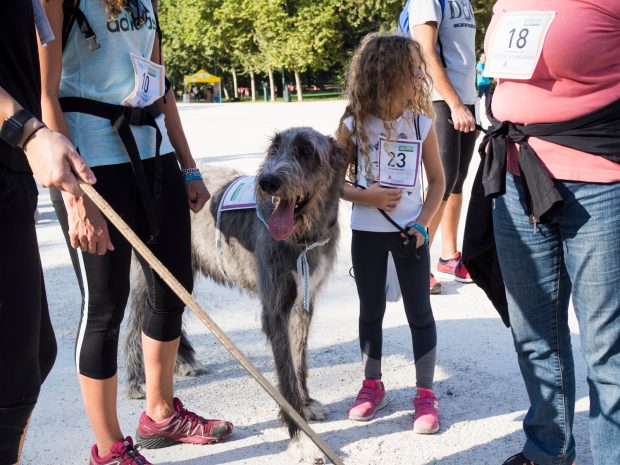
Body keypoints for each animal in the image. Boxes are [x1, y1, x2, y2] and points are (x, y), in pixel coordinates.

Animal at [123, 126, 346, 460]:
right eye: (274, 148)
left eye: (307, 151)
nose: (268, 182)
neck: (302, 237)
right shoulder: (275, 306)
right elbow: (285, 371)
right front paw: (300, 438)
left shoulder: (303, 303)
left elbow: (299, 360)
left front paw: (306, 404)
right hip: (149, 268)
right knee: (136, 324)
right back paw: (137, 380)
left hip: (177, 270)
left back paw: (184, 363)